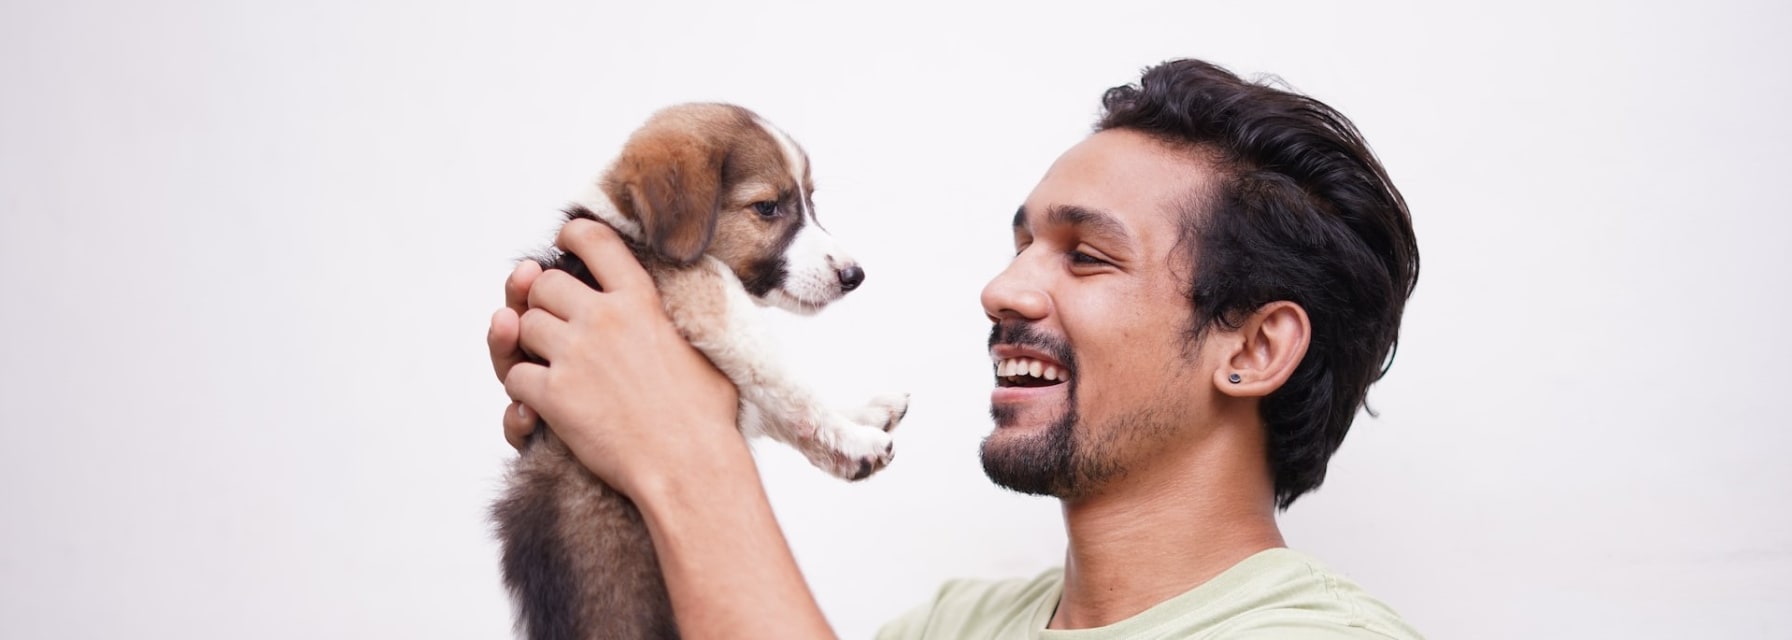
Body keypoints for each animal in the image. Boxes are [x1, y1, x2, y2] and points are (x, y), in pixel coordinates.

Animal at [494, 103, 903, 638]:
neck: (633, 230)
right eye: (767, 207)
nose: (855, 275)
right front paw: (854, 440)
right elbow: (787, 384)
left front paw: (864, 416)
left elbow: (774, 404)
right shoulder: (714, 307)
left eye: (811, 203)